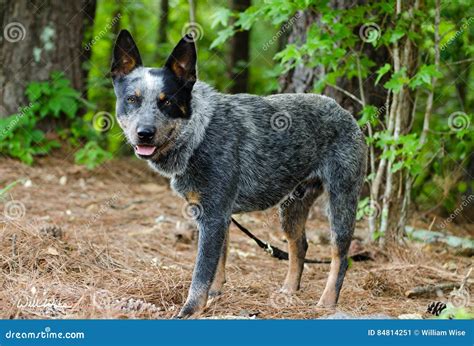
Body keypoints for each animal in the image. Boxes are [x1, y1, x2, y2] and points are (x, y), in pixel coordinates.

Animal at [110, 30, 366, 318]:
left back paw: (327, 302)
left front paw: (190, 310)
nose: (144, 133)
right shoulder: (215, 214)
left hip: (341, 200)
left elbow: (201, 272)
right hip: (292, 206)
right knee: (299, 246)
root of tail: (345, 113)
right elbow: (218, 263)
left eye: (168, 102)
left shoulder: (214, 216)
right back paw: (288, 291)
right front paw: (215, 295)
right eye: (132, 99)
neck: (198, 134)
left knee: (341, 256)